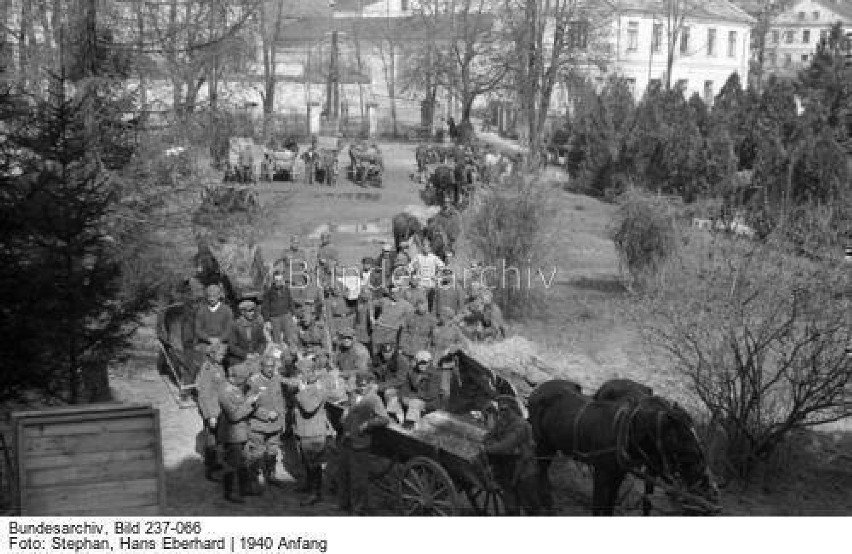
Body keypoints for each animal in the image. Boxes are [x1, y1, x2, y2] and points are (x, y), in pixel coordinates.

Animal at [528, 378, 716, 516]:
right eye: (682, 434)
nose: (700, 469)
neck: (624, 432)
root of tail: (538, 389)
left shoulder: (619, 474)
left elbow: (611, 504)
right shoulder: (602, 473)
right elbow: (598, 506)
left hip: (550, 445)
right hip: (542, 443)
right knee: (539, 469)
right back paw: (544, 504)